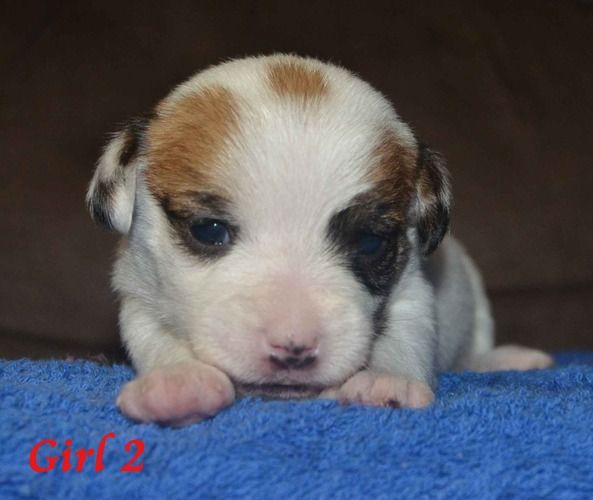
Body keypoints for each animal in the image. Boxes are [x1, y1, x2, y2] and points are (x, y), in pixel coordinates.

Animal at [87, 54, 553, 426]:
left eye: (368, 243)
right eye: (209, 230)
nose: (293, 347)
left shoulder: (411, 292)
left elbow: (404, 334)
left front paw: (385, 380)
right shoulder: (138, 294)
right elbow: (154, 337)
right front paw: (177, 382)